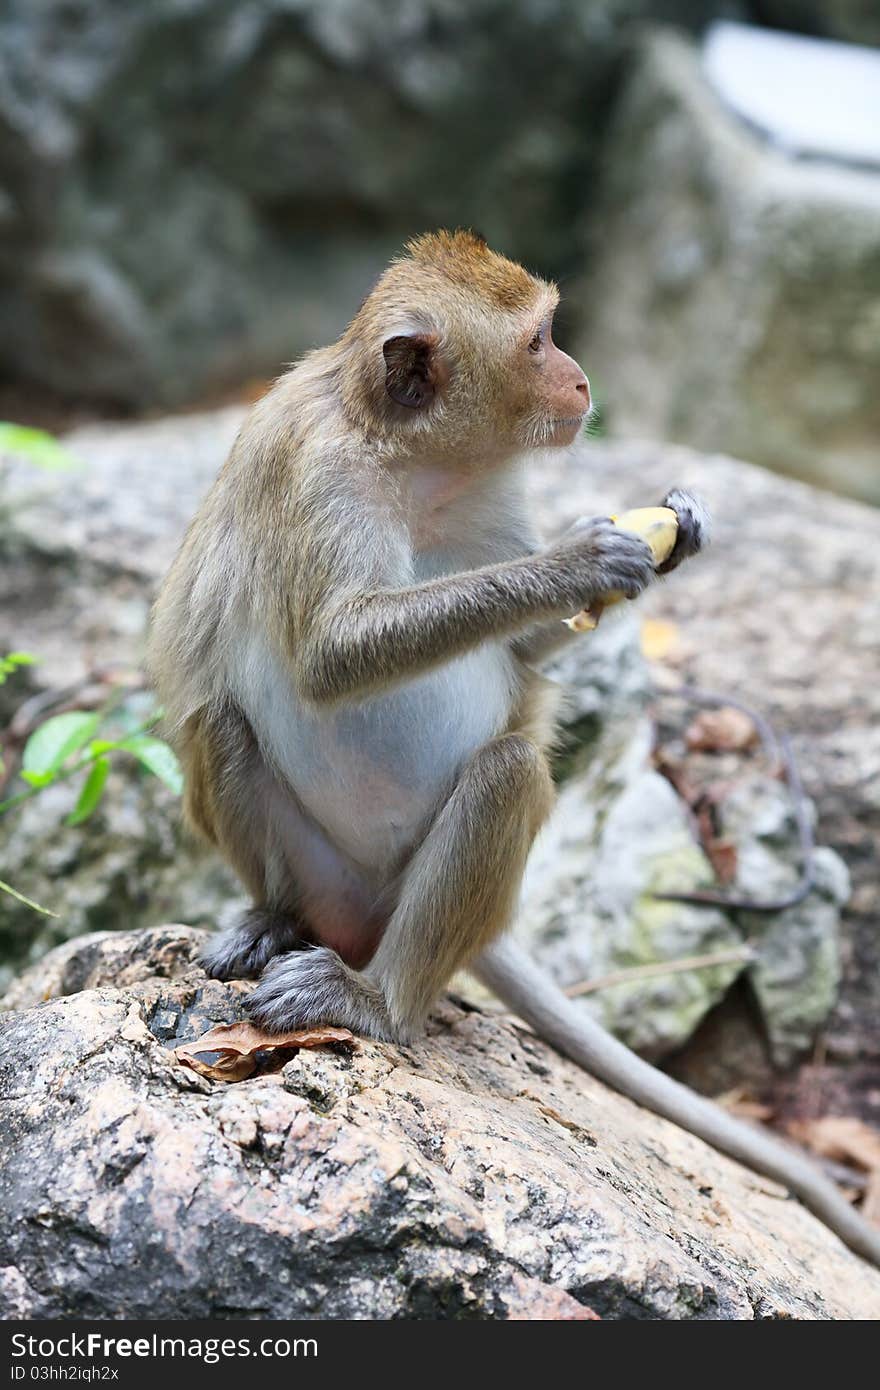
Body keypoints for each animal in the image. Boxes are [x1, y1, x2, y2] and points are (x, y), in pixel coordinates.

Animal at [149, 230, 878, 1273]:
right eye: (538, 340)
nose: (581, 377)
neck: (416, 459)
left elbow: (524, 656)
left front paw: (677, 534)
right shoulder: (315, 471)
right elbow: (332, 653)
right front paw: (573, 561)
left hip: (410, 898)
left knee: (500, 772)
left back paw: (371, 986)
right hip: (327, 872)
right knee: (228, 723)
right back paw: (317, 955)